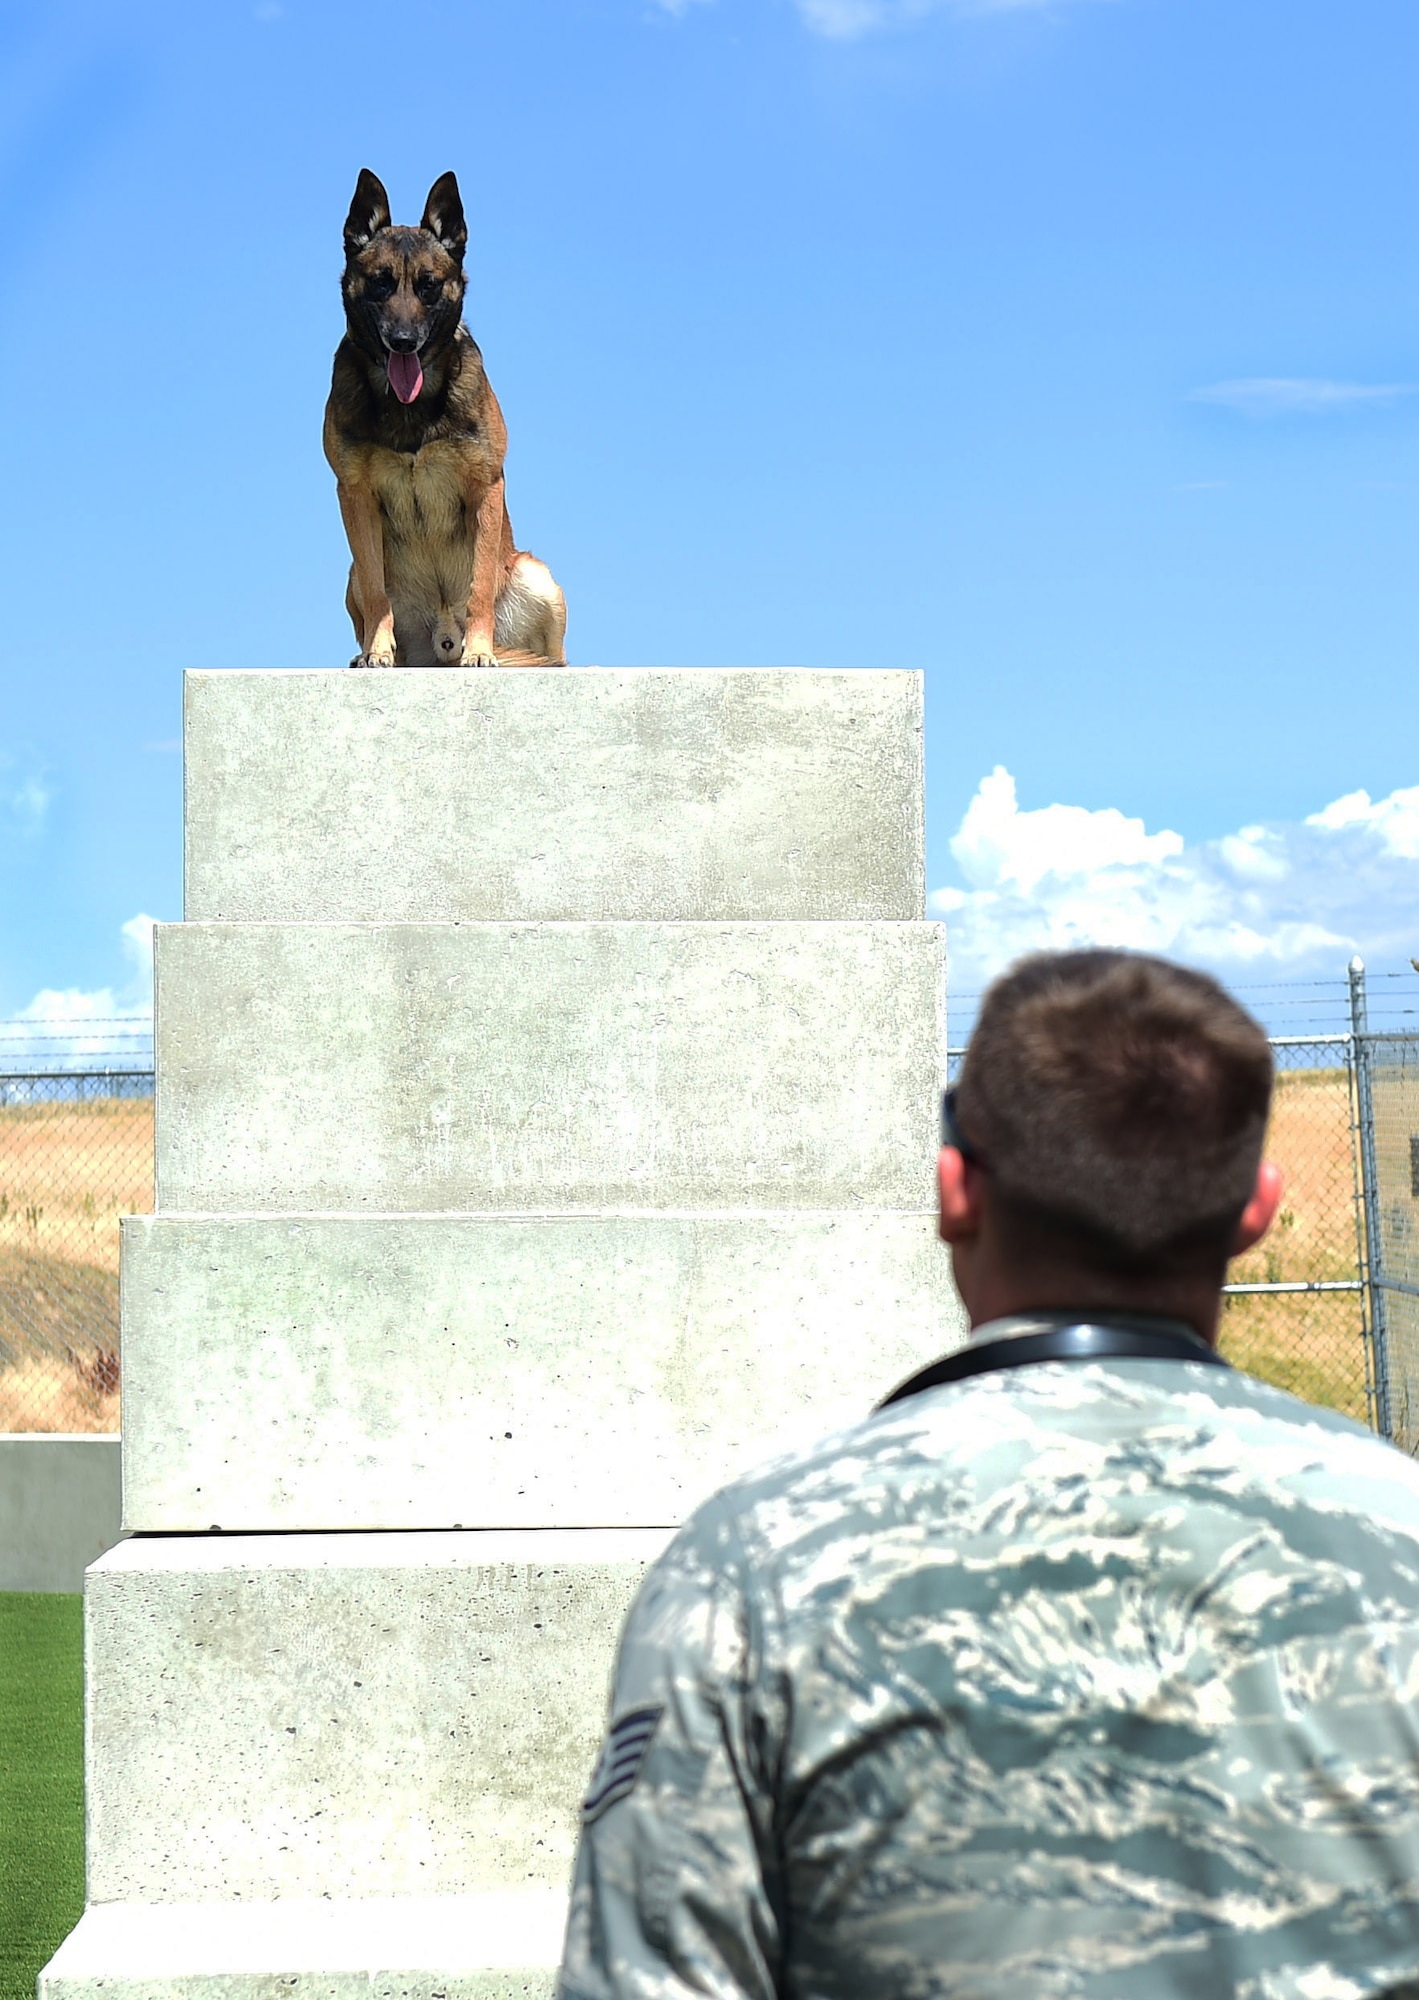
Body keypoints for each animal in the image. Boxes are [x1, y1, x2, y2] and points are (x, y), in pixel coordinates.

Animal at [323, 168, 567, 668]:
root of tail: (442, 644)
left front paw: (481, 652)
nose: (403, 341)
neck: (408, 407)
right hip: (352, 570)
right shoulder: (354, 495)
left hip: (539, 579)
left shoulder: (485, 485)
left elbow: (478, 585)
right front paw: (377, 651)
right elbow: (377, 594)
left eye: (429, 285)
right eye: (380, 283)